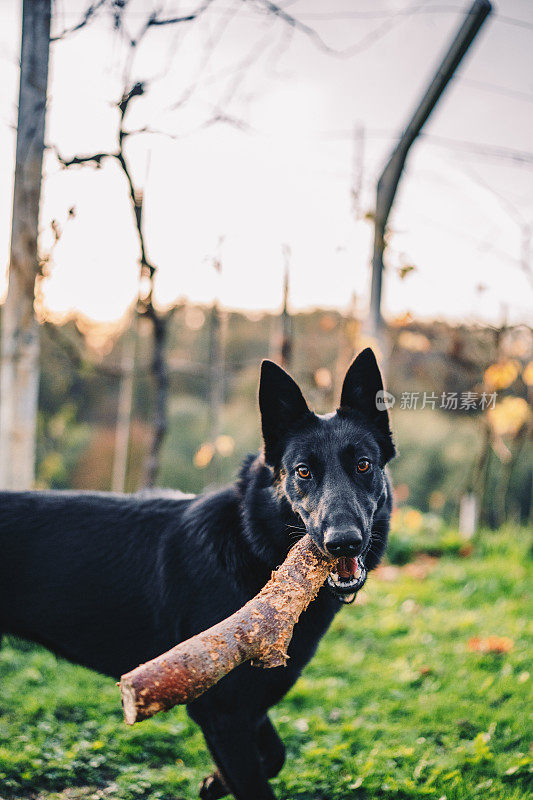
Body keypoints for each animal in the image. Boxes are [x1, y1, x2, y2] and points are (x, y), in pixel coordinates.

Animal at [0, 348, 390, 800]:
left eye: (363, 465)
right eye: (303, 471)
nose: (343, 542)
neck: (251, 542)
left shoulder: (244, 705)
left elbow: (273, 754)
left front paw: (213, 782)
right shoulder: (222, 711)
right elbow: (256, 777)